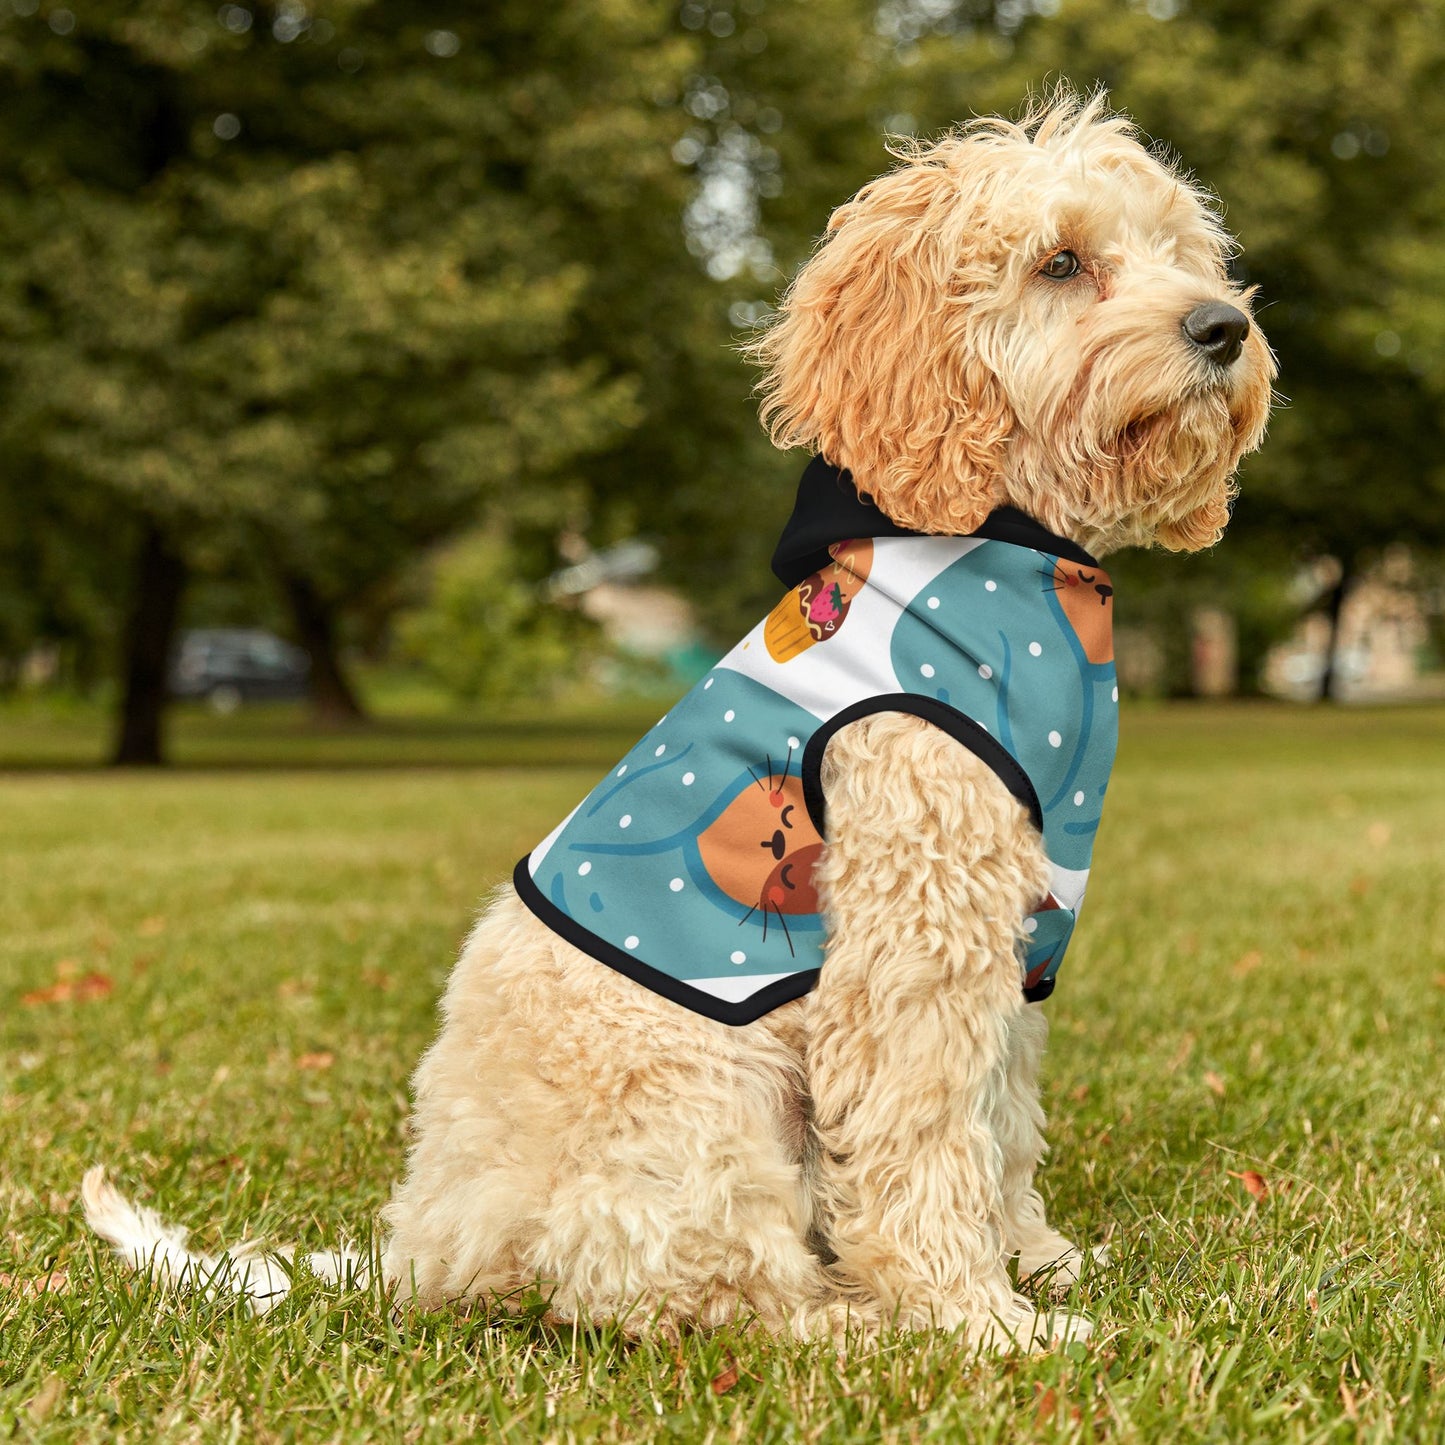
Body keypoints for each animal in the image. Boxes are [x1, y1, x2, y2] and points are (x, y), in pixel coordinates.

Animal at [84, 93, 1271, 1352]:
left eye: (1180, 252)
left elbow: (998, 1120)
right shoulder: (912, 934)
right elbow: (924, 1136)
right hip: (703, 1102)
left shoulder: (1014, 933)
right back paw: (852, 1322)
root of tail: (424, 1247)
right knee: (700, 1291)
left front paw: (1034, 1260)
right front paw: (975, 1318)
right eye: (1059, 262)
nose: (1222, 327)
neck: (1008, 547)